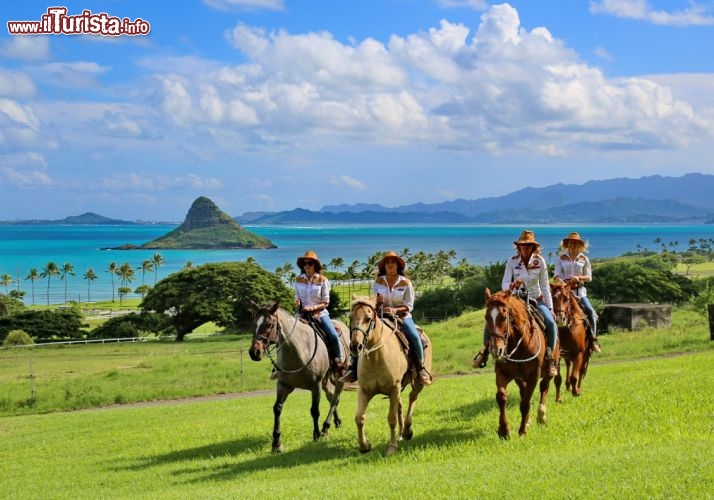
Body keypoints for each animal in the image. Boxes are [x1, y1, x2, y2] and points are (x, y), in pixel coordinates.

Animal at [249, 300, 350, 454]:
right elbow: (277, 409)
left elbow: (314, 410)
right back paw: (336, 422)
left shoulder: (315, 385)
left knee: (335, 399)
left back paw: (325, 429)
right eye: (254, 323)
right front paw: (276, 443)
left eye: (270, 324)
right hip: (325, 380)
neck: (298, 351)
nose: (254, 352)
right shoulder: (283, 385)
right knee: (331, 396)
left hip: (339, 376)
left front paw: (316, 435)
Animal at [348, 294, 432, 456]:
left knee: (412, 398)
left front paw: (392, 447)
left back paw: (407, 431)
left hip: (416, 383)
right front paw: (364, 446)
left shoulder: (394, 388)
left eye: (368, 318)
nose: (355, 346)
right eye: (350, 317)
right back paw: (401, 434)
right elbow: (359, 418)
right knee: (400, 405)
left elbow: (391, 418)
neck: (377, 356)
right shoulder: (365, 390)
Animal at [482, 290, 552, 438]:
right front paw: (503, 430)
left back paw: (541, 416)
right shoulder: (502, 372)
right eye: (486, 317)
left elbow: (525, 403)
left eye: (504, 317)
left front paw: (522, 431)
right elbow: (502, 397)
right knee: (524, 392)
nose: (496, 350)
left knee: (544, 387)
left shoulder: (533, 375)